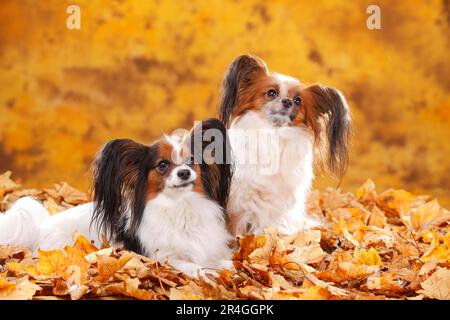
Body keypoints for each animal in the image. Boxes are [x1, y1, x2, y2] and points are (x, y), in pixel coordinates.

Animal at [0, 119, 234, 276]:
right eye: (163, 165)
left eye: (192, 161)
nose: (184, 173)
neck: (180, 207)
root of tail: (39, 227)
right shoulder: (161, 256)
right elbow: (194, 267)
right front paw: (209, 275)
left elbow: (226, 262)